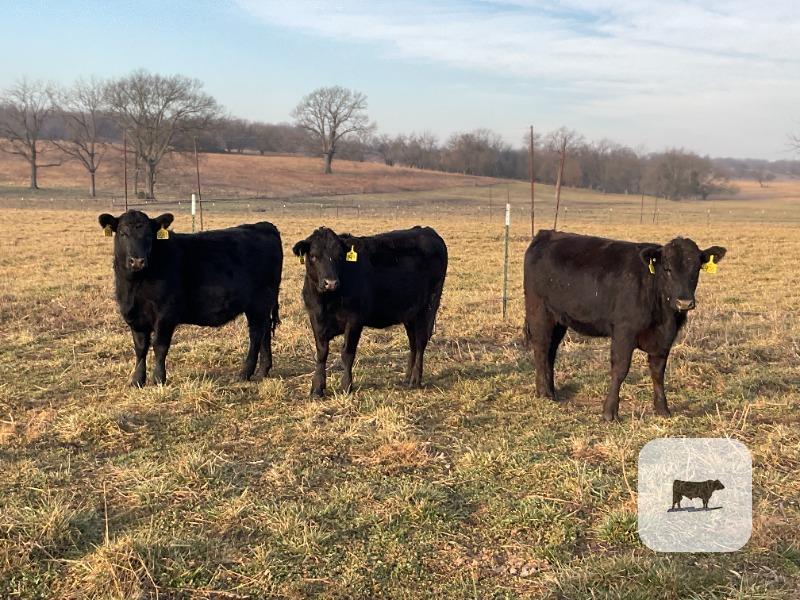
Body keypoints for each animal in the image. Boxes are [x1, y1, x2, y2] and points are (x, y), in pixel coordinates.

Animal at [98, 210, 282, 386]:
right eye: (123, 233)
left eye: (149, 235)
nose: (137, 261)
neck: (135, 285)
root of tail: (263, 225)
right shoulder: (134, 315)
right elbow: (140, 347)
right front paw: (137, 380)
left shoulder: (166, 314)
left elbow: (159, 345)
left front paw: (159, 379)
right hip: (262, 306)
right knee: (265, 331)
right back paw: (263, 371)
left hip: (258, 304)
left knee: (256, 334)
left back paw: (244, 373)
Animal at [292, 226, 447, 396]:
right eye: (313, 256)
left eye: (339, 256)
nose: (331, 283)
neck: (327, 301)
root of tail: (426, 230)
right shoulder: (315, 318)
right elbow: (321, 352)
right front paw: (317, 388)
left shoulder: (354, 320)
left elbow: (347, 353)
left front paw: (346, 386)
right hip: (409, 315)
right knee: (413, 343)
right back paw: (407, 378)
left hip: (427, 308)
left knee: (420, 343)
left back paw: (415, 380)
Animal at [523, 230, 726, 421]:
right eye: (667, 269)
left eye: (697, 269)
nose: (684, 302)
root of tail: (546, 234)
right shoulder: (624, 332)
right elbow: (620, 369)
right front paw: (610, 412)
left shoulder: (664, 339)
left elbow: (658, 372)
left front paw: (662, 409)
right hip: (539, 312)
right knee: (541, 349)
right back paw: (544, 393)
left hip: (559, 319)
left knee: (551, 351)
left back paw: (551, 390)